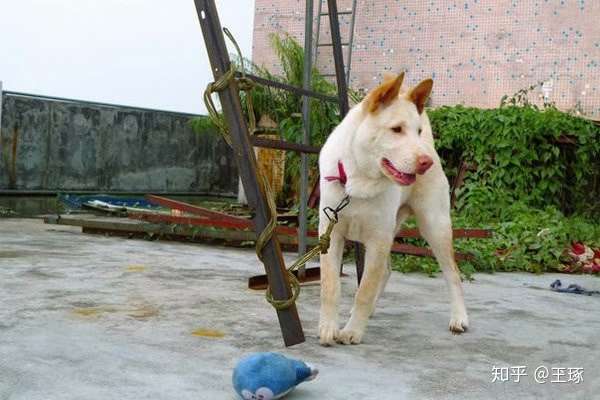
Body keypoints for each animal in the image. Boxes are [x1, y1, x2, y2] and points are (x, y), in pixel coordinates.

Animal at [318, 73, 468, 346]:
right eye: (396, 129)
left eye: (417, 131)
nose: (425, 163)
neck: (359, 180)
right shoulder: (330, 234)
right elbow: (330, 286)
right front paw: (328, 327)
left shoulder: (378, 239)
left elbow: (365, 290)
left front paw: (353, 331)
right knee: (386, 271)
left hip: (434, 226)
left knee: (452, 273)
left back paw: (459, 318)